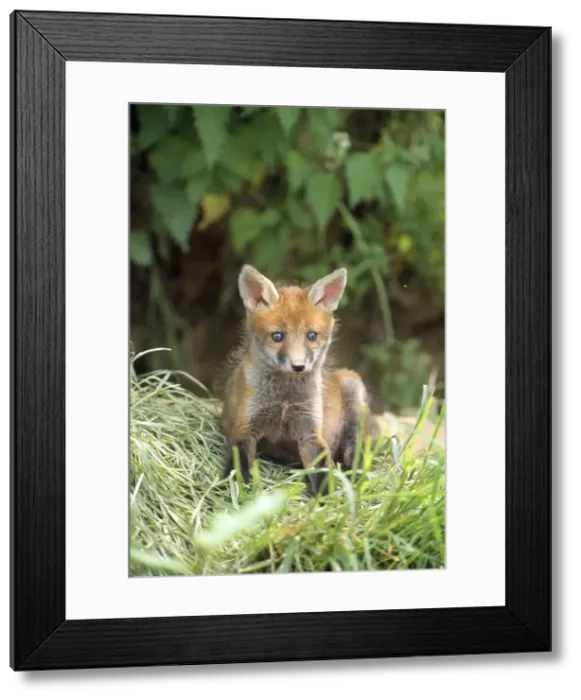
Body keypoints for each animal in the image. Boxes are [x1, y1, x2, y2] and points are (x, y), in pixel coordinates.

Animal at [220, 264, 381, 496]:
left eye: (311, 336)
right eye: (277, 336)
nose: (298, 366)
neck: (285, 400)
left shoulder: (310, 433)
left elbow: (323, 472)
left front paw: (327, 499)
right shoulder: (245, 425)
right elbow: (238, 466)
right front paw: (234, 491)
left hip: (353, 388)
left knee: (355, 449)